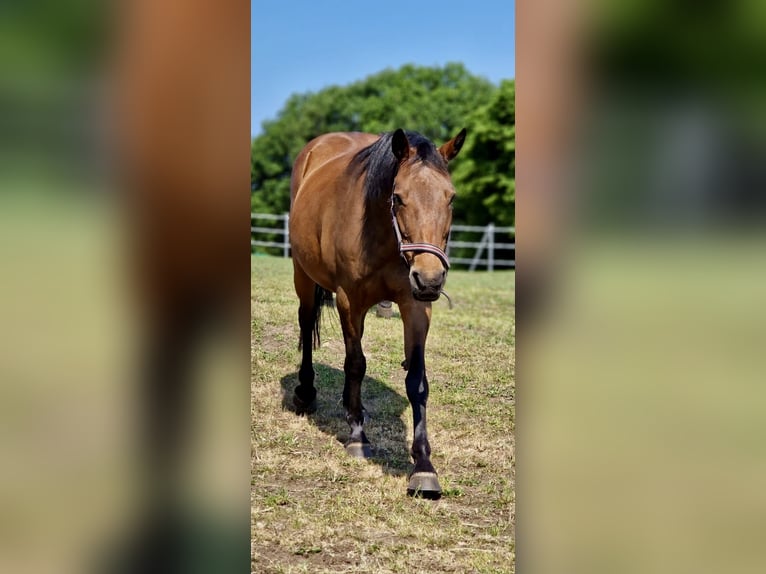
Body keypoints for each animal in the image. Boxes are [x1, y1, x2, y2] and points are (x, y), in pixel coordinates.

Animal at [290, 127, 464, 500]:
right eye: (398, 197)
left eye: (451, 198)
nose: (430, 278)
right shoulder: (349, 301)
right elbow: (356, 363)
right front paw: (357, 436)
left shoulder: (416, 305)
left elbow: (417, 381)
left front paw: (424, 467)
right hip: (303, 274)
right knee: (307, 323)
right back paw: (306, 392)